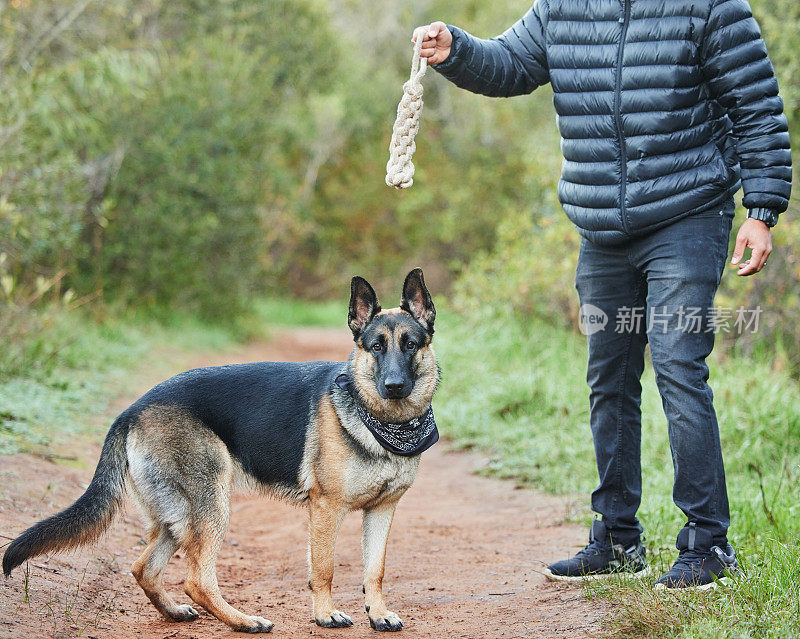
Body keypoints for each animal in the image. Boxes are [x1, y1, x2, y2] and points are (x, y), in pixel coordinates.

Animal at [1, 268, 438, 632]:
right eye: (376, 347)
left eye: (410, 345)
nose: (394, 386)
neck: (381, 420)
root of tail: (133, 408)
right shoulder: (326, 509)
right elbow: (325, 568)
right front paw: (325, 614)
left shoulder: (382, 510)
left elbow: (375, 570)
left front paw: (378, 614)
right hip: (211, 504)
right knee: (196, 579)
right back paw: (243, 621)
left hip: (178, 517)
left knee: (144, 568)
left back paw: (174, 612)